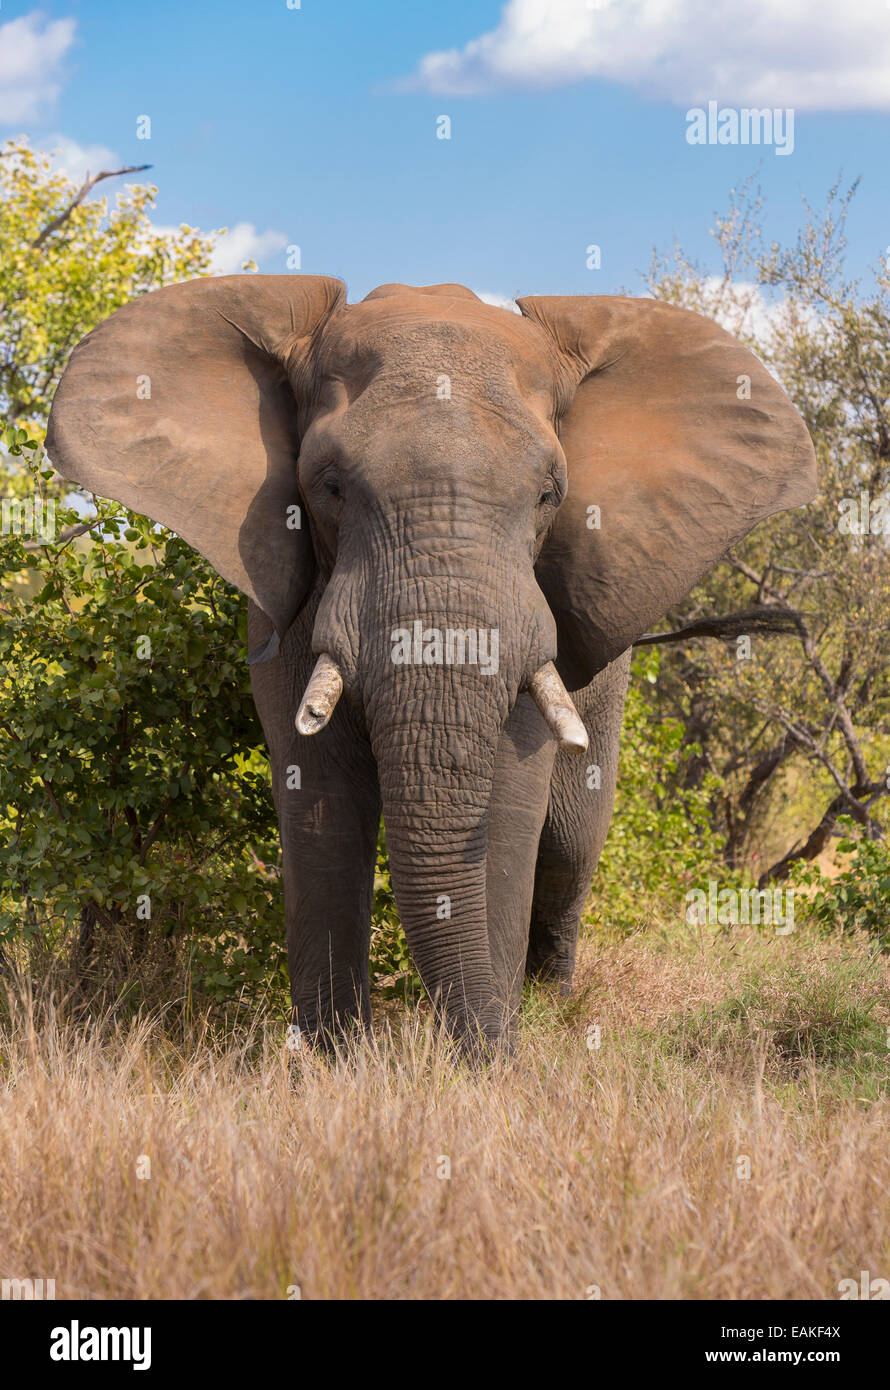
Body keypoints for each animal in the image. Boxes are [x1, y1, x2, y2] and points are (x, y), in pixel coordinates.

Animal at [46, 273, 812, 1050]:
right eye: (328, 486)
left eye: (549, 495)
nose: (489, 1055)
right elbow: (320, 799)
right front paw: (335, 1058)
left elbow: (510, 807)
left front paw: (489, 1055)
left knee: (570, 848)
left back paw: (554, 1006)